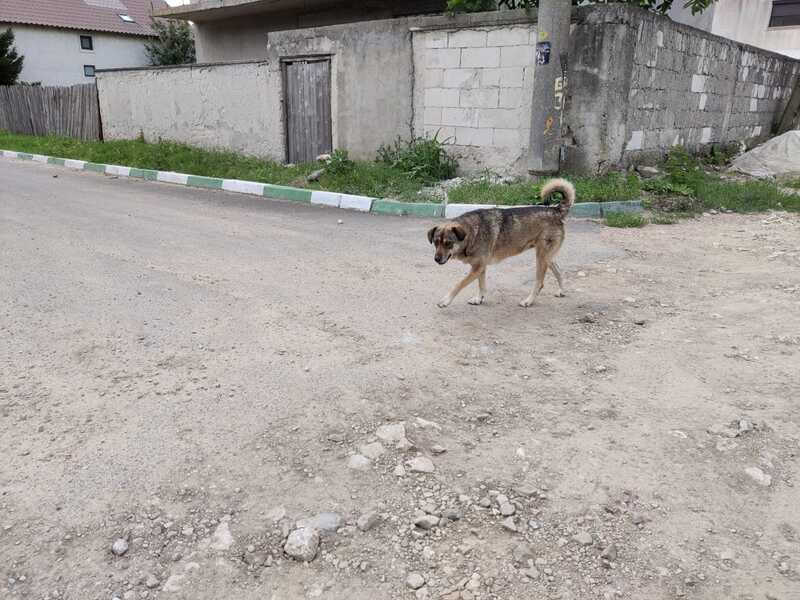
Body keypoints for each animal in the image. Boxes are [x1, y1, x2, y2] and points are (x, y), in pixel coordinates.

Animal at [428, 177, 572, 310]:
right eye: (436, 242)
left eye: (448, 243)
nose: (436, 259)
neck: (472, 233)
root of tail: (555, 210)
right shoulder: (480, 267)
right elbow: (481, 285)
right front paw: (479, 299)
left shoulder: (477, 268)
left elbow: (458, 284)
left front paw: (446, 300)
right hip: (546, 257)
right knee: (559, 271)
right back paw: (561, 291)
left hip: (541, 258)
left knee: (540, 283)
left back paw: (528, 301)